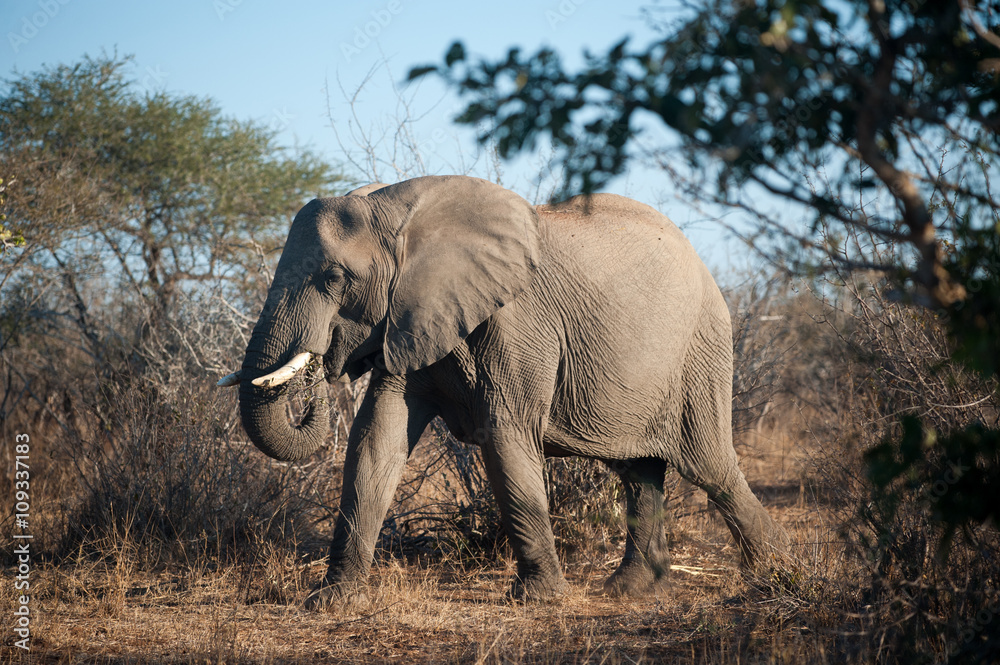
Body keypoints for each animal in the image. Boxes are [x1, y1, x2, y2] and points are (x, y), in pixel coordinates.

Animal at [217, 175, 790, 606]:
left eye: (335, 278)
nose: (315, 371)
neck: (401, 207)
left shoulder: (517, 322)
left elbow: (505, 435)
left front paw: (539, 600)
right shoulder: (409, 319)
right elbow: (377, 438)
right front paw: (332, 601)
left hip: (700, 350)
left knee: (710, 467)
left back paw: (774, 573)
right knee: (639, 470)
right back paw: (626, 591)